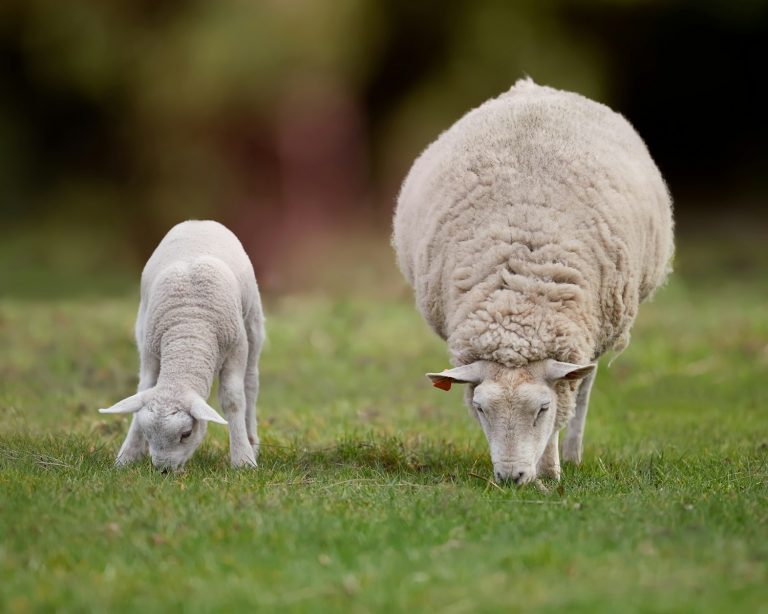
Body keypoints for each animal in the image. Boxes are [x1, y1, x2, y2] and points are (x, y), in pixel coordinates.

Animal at [99, 220, 264, 471]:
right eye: (148, 434)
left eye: (186, 434)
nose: (163, 470)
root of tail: (199, 221)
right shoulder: (149, 350)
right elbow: (144, 387)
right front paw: (128, 456)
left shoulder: (237, 348)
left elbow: (233, 399)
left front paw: (243, 459)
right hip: (141, 324)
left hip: (252, 323)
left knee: (251, 384)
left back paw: (251, 440)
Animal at [393, 78, 674, 485]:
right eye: (481, 408)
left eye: (541, 408)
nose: (511, 478)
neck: (519, 301)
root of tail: (531, 86)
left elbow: (562, 411)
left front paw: (551, 471)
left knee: (584, 389)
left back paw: (571, 456)